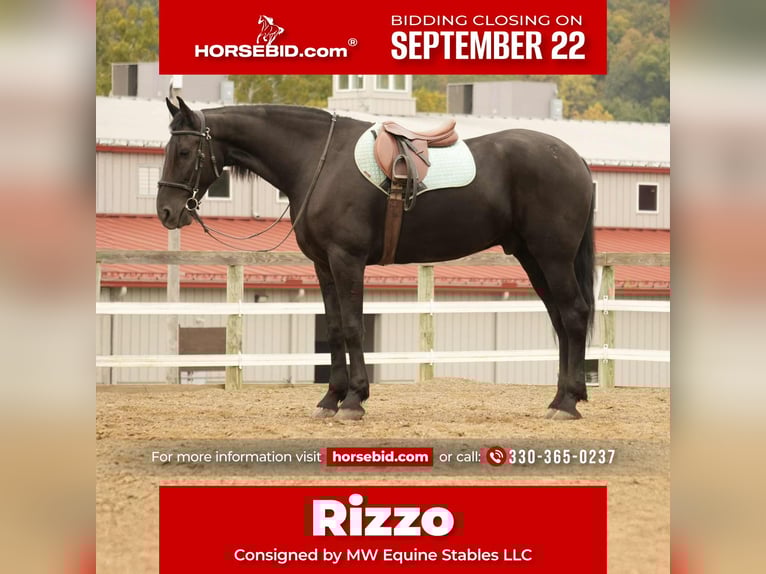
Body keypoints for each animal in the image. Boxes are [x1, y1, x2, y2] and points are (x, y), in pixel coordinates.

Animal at [156, 97, 595, 421]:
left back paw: (568, 404)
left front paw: (354, 401)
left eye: (184, 150)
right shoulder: (323, 264)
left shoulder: (346, 259)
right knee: (559, 320)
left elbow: (353, 327)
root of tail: (574, 159)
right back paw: (559, 399)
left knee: (573, 315)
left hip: (553, 257)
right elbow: (334, 329)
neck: (320, 160)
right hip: (532, 258)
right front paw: (330, 399)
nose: (166, 211)